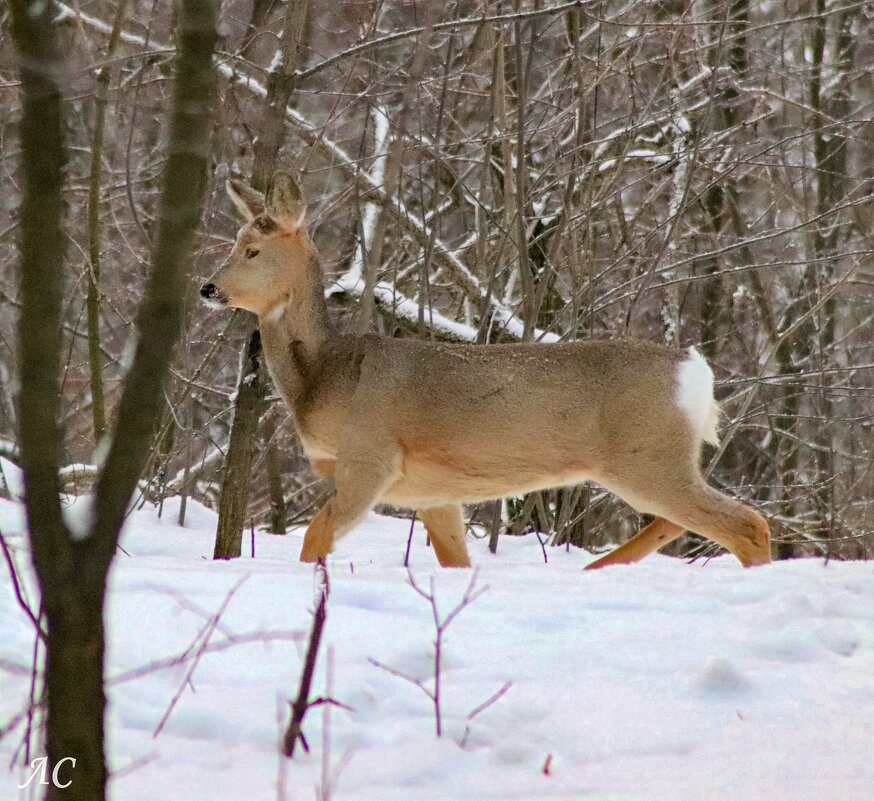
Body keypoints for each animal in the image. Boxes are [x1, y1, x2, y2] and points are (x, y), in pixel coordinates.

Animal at [199, 170, 768, 568]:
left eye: (251, 250)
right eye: (233, 244)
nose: (207, 287)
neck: (326, 375)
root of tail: (696, 371)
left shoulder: (370, 454)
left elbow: (316, 535)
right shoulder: (432, 492)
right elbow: (455, 559)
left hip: (646, 454)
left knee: (746, 522)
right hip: (655, 458)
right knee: (683, 524)